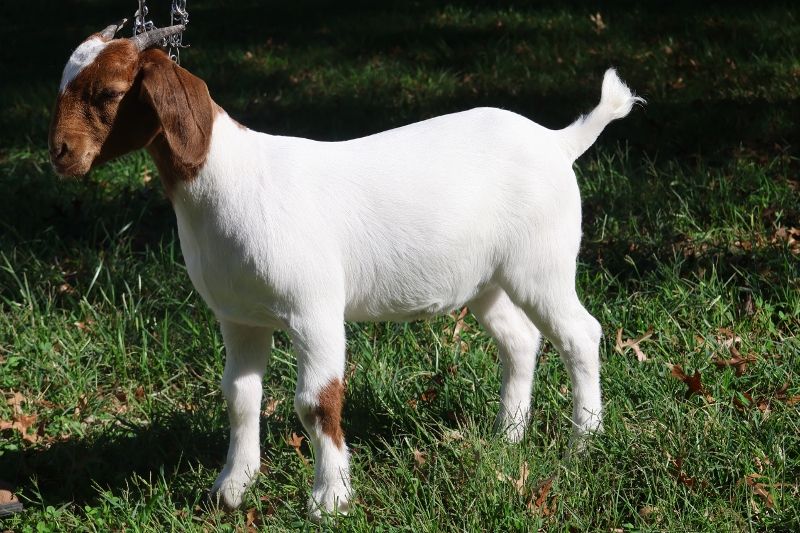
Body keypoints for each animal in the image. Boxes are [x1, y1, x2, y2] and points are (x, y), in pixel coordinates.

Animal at [49, 22, 643, 519]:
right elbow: (239, 397)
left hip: (541, 263)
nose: (59, 153)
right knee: (519, 340)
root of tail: (558, 142)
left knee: (579, 334)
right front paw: (232, 489)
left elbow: (316, 401)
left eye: (108, 93)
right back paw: (508, 437)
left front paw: (329, 499)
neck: (232, 181)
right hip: (486, 280)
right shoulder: (239, 318)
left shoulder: (313, 310)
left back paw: (582, 441)